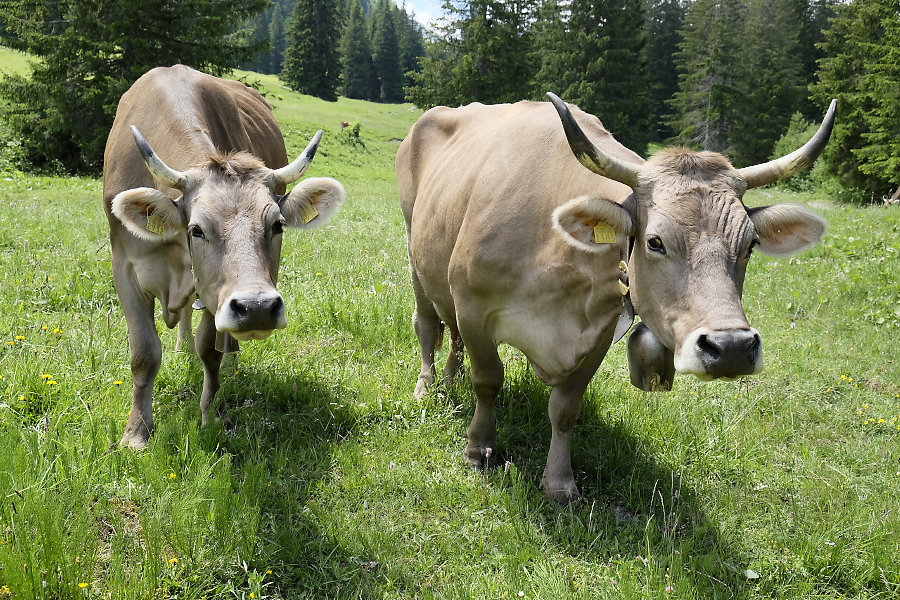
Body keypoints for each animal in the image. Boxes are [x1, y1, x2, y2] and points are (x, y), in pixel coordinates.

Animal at [103, 67, 346, 450]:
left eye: (277, 224)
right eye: (196, 229)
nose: (259, 308)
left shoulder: (214, 290)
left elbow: (210, 350)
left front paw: (213, 416)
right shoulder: (124, 266)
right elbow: (143, 354)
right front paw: (137, 431)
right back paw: (182, 350)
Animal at [400, 95, 836, 502]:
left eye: (750, 244)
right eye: (655, 242)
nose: (731, 348)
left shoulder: (599, 333)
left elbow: (566, 408)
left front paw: (560, 482)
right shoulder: (474, 306)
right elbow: (488, 381)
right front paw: (479, 448)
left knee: (452, 335)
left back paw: (451, 378)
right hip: (415, 253)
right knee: (428, 324)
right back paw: (427, 387)